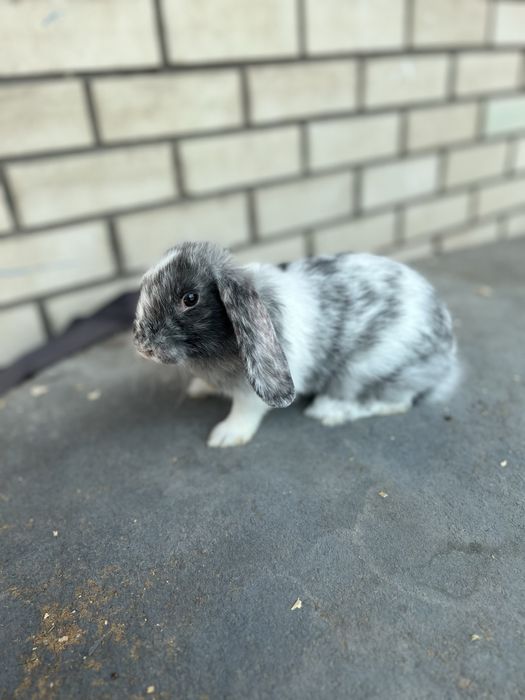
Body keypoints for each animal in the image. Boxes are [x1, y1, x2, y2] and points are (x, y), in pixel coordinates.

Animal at [133, 241, 460, 447]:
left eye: (190, 298)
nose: (142, 346)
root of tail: (446, 357)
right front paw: (199, 389)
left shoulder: (251, 393)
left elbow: (245, 410)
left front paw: (225, 436)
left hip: (365, 370)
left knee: (396, 403)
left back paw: (327, 411)